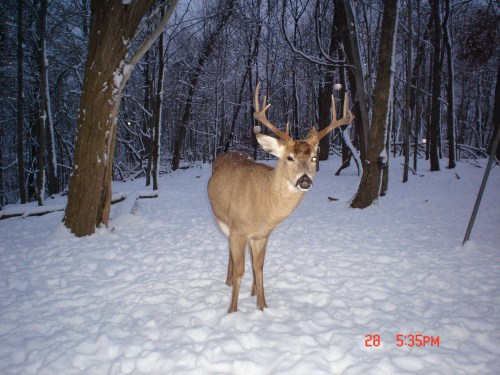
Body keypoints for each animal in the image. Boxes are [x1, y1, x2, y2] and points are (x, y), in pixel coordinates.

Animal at [207, 83, 352, 314]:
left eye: (314, 158)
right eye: (289, 157)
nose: (304, 181)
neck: (262, 207)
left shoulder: (264, 234)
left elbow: (259, 267)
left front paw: (262, 306)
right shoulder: (238, 229)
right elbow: (240, 270)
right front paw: (232, 310)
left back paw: (252, 291)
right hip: (221, 219)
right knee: (231, 253)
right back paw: (228, 282)